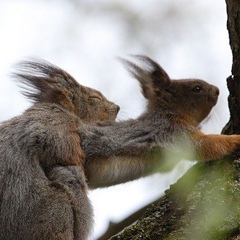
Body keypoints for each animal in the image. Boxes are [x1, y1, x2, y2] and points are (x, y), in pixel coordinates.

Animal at [0, 56, 240, 240]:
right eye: (196, 88)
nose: (217, 90)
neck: (170, 116)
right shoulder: (173, 134)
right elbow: (207, 145)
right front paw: (235, 139)